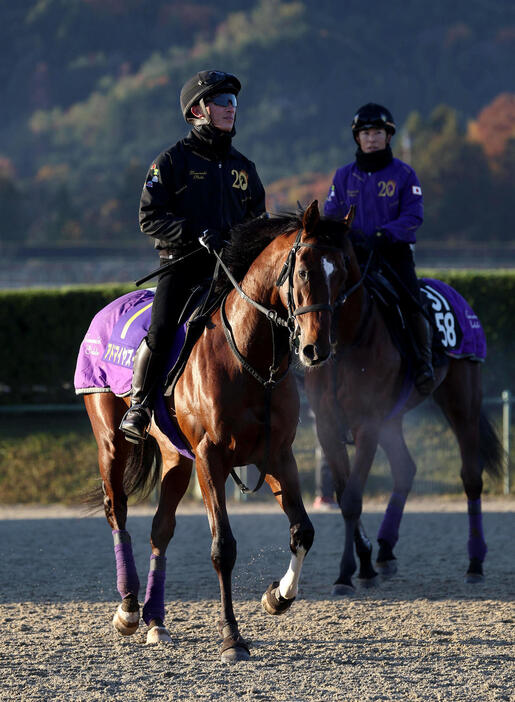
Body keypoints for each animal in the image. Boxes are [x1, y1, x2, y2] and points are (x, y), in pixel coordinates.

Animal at [77, 204, 350, 664]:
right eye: (304, 271)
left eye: (343, 273)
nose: (317, 349)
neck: (247, 355)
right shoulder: (211, 457)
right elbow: (223, 547)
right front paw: (231, 637)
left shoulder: (277, 455)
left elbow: (303, 531)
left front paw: (277, 596)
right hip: (111, 442)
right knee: (118, 511)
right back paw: (128, 609)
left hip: (175, 459)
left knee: (160, 529)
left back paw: (156, 621)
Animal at [304, 223, 502, 596]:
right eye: (302, 270)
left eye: (342, 269)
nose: (315, 341)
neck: (346, 341)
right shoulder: (327, 426)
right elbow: (343, 493)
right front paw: (364, 564)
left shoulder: (366, 424)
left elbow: (352, 498)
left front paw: (347, 573)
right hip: (392, 419)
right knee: (406, 469)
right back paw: (385, 550)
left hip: (462, 401)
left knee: (471, 477)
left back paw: (475, 561)